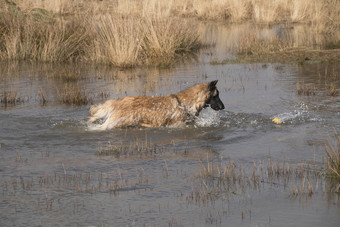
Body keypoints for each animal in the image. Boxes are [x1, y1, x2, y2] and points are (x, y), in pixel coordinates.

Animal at [89, 80, 224, 129]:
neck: (185, 103)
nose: (223, 107)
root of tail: (118, 102)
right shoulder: (177, 124)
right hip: (118, 122)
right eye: (216, 95)